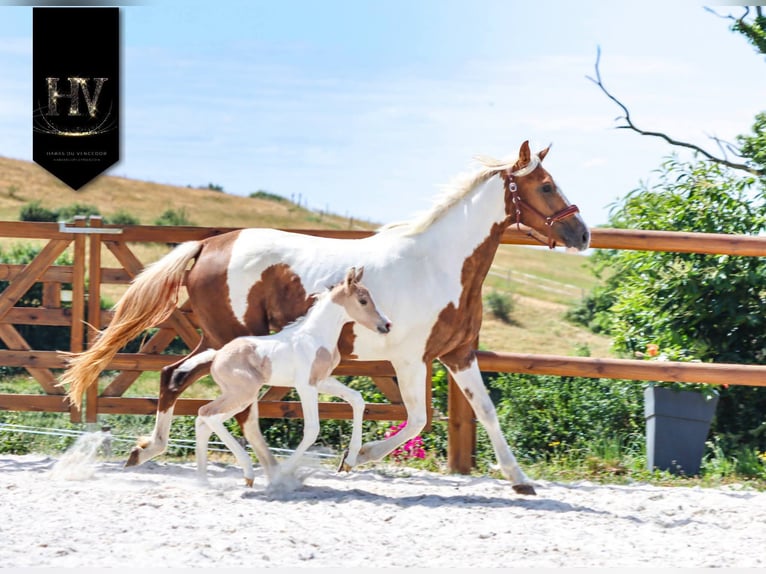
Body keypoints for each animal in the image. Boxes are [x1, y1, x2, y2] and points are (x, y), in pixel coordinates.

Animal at [184, 266, 391, 487]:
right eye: (363, 300)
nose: (386, 325)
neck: (315, 336)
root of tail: (216, 355)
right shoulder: (305, 386)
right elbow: (312, 429)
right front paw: (282, 473)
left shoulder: (322, 381)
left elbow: (357, 399)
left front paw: (349, 462)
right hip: (242, 394)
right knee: (207, 414)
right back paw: (247, 473)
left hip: (241, 397)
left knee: (203, 421)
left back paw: (203, 480)